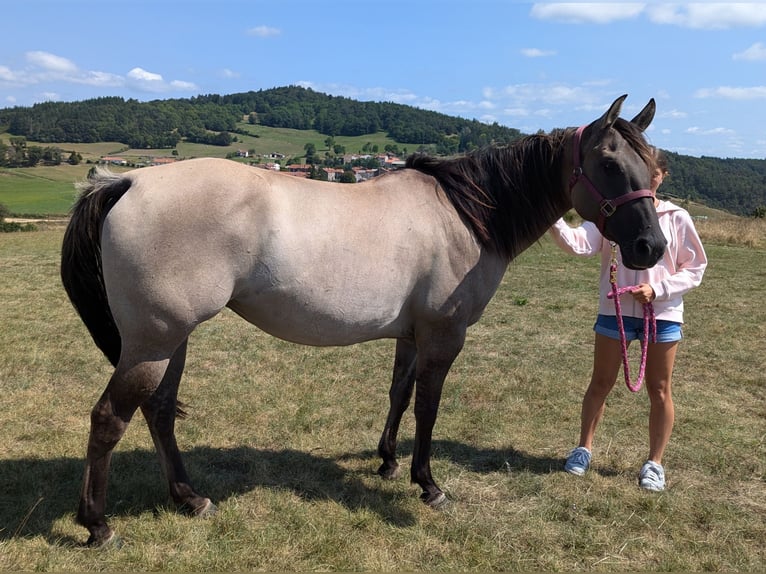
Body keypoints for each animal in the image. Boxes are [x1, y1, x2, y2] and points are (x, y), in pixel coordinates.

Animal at [63, 93, 668, 544]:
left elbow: (398, 393)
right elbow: (427, 406)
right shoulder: (443, 336)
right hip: (154, 341)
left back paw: (189, 499)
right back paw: (98, 525)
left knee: (159, 411)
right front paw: (428, 484)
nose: (651, 246)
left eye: (655, 168)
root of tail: (130, 182)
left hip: (171, 341)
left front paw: (386, 462)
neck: (464, 214)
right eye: (609, 164)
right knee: (109, 418)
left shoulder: (411, 334)